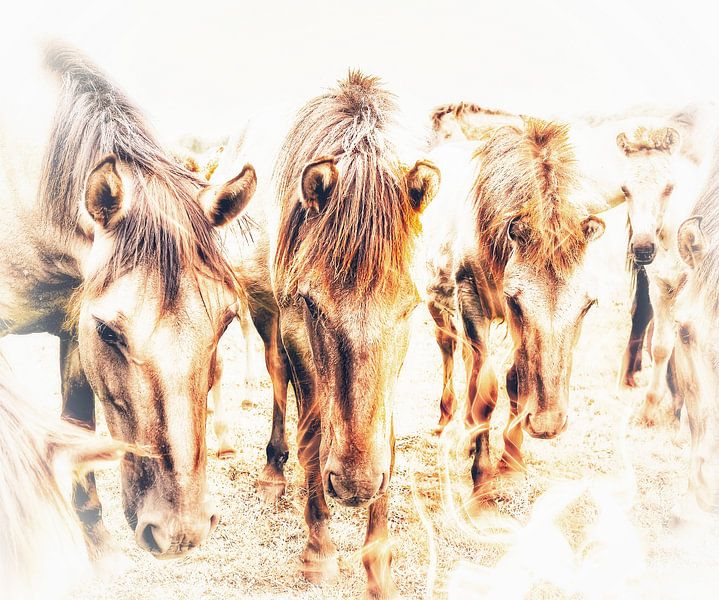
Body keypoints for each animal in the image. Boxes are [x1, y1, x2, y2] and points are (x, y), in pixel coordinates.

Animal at [0, 42, 256, 558]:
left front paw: (94, 539)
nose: (180, 532)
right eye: (109, 330)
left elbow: (77, 426)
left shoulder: (71, 323)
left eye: (224, 323)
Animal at [212, 71, 439, 598]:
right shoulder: (295, 326)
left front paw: (378, 562)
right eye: (315, 304)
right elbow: (313, 436)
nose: (355, 486)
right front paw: (319, 550)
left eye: (409, 306)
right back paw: (275, 471)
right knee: (279, 381)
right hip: (266, 312)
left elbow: (387, 437)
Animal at [423, 119, 606, 504]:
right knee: (449, 352)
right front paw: (482, 476)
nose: (549, 423)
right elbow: (487, 390)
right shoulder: (470, 297)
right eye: (515, 301)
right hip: (437, 302)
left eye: (588, 304)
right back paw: (446, 421)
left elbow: (513, 383)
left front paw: (512, 463)